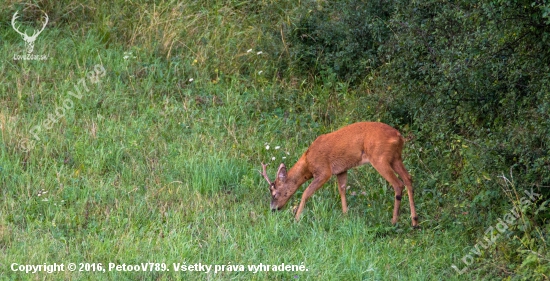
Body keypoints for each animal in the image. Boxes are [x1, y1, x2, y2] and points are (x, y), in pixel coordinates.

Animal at [260, 121, 420, 226]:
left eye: (275, 193)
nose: (273, 209)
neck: (308, 163)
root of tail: (399, 136)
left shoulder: (324, 171)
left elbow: (306, 193)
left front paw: (297, 218)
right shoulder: (341, 170)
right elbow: (342, 190)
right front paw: (345, 215)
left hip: (380, 158)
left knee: (398, 184)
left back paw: (394, 221)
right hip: (396, 158)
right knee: (408, 179)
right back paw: (414, 221)